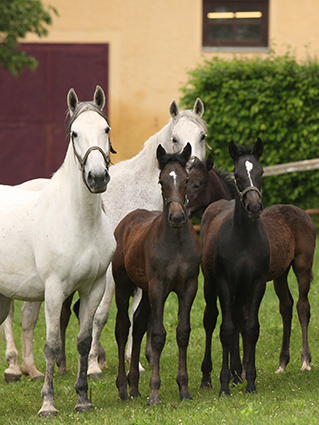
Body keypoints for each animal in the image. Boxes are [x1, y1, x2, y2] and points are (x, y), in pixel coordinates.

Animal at [0, 84, 116, 416]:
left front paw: (83, 398)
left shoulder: (93, 288)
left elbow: (83, 341)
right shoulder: (54, 291)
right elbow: (52, 346)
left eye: (105, 129)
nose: (97, 177)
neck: (77, 221)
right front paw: (48, 404)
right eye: (74, 133)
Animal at [2, 98, 208, 378]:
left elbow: (136, 315)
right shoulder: (109, 275)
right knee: (12, 317)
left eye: (202, 136)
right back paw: (15, 366)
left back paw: (35, 368)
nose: (194, 177)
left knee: (29, 316)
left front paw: (135, 362)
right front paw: (92, 365)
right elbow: (99, 316)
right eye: (175, 138)